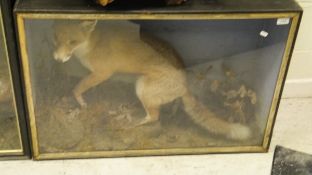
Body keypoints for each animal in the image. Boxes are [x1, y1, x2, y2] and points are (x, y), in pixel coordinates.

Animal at [53, 20, 252, 140]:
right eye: (56, 39)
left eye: (72, 42)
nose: (57, 59)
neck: (91, 45)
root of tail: (185, 84)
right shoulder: (96, 74)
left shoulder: (103, 73)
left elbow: (77, 88)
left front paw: (81, 103)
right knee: (170, 106)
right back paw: (172, 111)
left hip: (141, 87)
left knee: (154, 117)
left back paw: (130, 124)